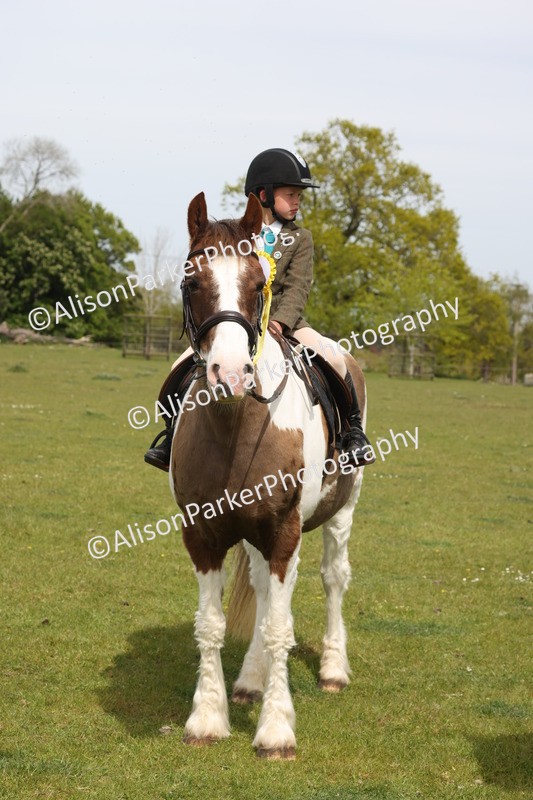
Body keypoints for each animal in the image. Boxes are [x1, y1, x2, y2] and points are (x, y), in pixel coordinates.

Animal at [169, 191, 367, 759]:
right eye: (192, 282)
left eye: (259, 283)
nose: (232, 374)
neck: (236, 426)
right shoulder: (203, 535)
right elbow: (211, 625)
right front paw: (207, 718)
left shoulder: (283, 533)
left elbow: (280, 626)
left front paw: (277, 730)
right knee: (260, 588)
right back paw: (250, 681)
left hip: (340, 513)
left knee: (333, 578)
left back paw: (333, 669)